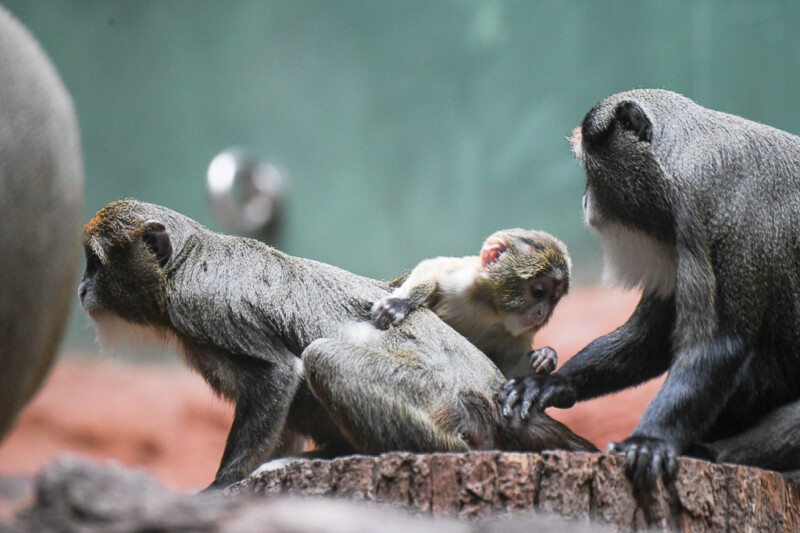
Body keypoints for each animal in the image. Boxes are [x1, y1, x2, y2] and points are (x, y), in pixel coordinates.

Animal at [371, 228, 570, 379]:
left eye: (553, 298)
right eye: (539, 291)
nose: (542, 312)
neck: (491, 311)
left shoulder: (517, 336)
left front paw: (546, 356)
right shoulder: (461, 281)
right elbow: (430, 269)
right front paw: (401, 302)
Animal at [500, 88, 800, 487]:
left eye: (589, 168)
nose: (584, 200)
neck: (683, 156)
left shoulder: (721, 219)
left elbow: (720, 343)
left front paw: (648, 441)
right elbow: (652, 336)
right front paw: (552, 383)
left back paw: (711, 452)